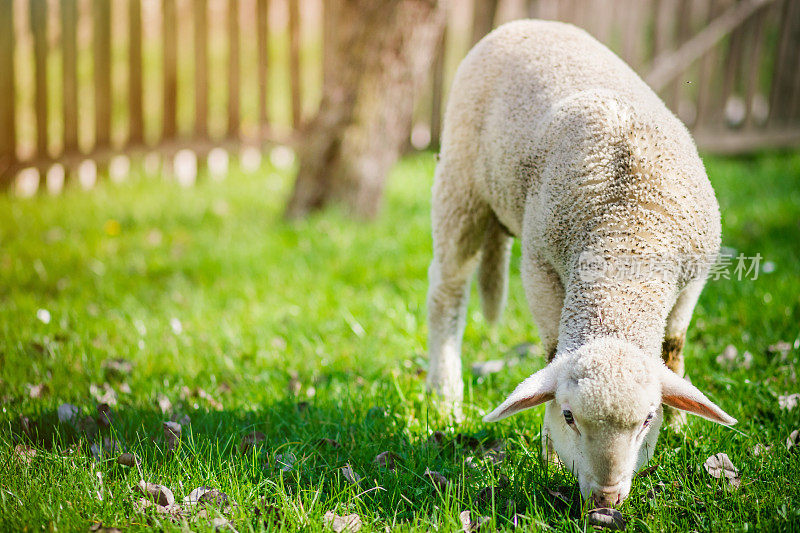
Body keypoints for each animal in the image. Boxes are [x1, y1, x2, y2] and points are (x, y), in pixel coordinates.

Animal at [424, 18, 736, 504]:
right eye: (569, 416)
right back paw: (446, 395)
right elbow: (552, 350)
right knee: (448, 291)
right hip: (459, 184)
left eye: (648, 419)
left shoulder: (693, 279)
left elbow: (674, 347)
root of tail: (526, 23)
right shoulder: (541, 267)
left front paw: (682, 425)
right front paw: (550, 455)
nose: (605, 498)